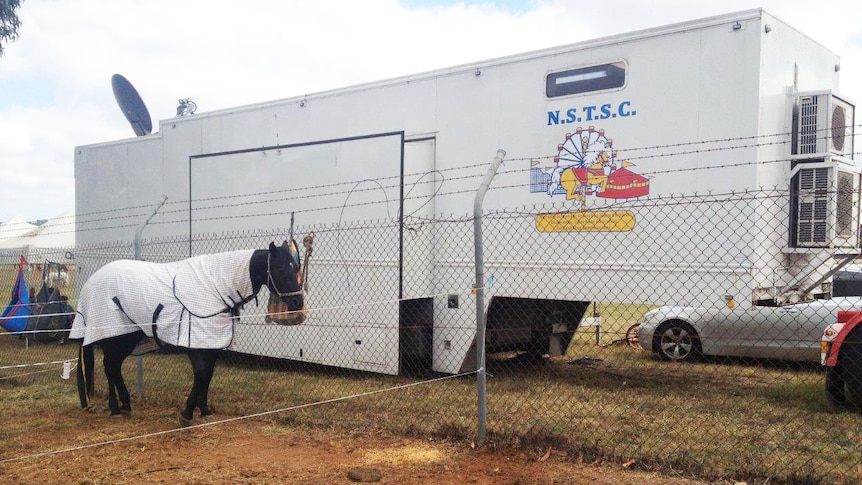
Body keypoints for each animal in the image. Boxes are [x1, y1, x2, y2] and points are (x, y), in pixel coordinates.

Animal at [71, 241, 308, 424]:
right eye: (280, 269)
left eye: (296, 267)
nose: (298, 302)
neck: (215, 286)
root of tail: (91, 282)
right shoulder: (193, 340)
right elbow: (201, 373)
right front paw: (187, 413)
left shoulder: (212, 341)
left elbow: (208, 374)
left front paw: (204, 410)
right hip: (115, 335)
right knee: (110, 366)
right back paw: (115, 408)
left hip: (128, 337)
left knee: (114, 366)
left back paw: (126, 405)